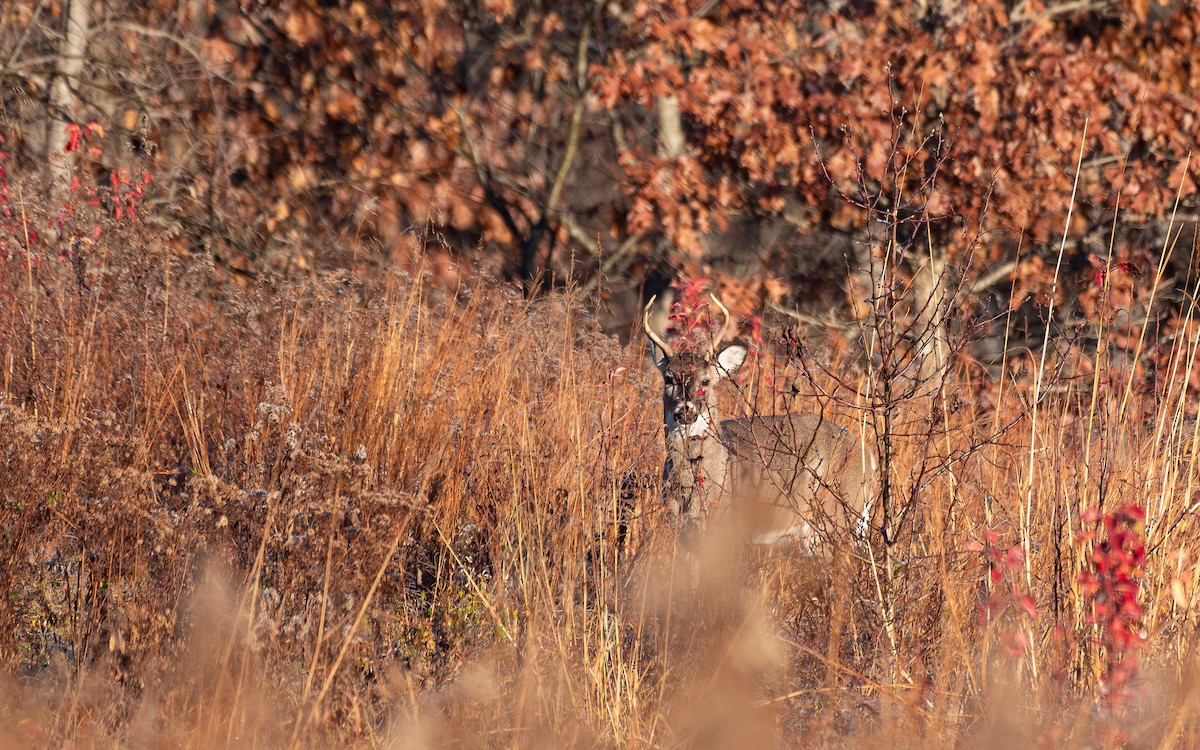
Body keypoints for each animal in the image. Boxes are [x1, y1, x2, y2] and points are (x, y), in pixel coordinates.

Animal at [643, 294, 877, 563]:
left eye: (706, 380)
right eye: (669, 378)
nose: (685, 411)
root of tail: (869, 456)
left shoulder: (724, 524)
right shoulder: (682, 531)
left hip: (837, 512)